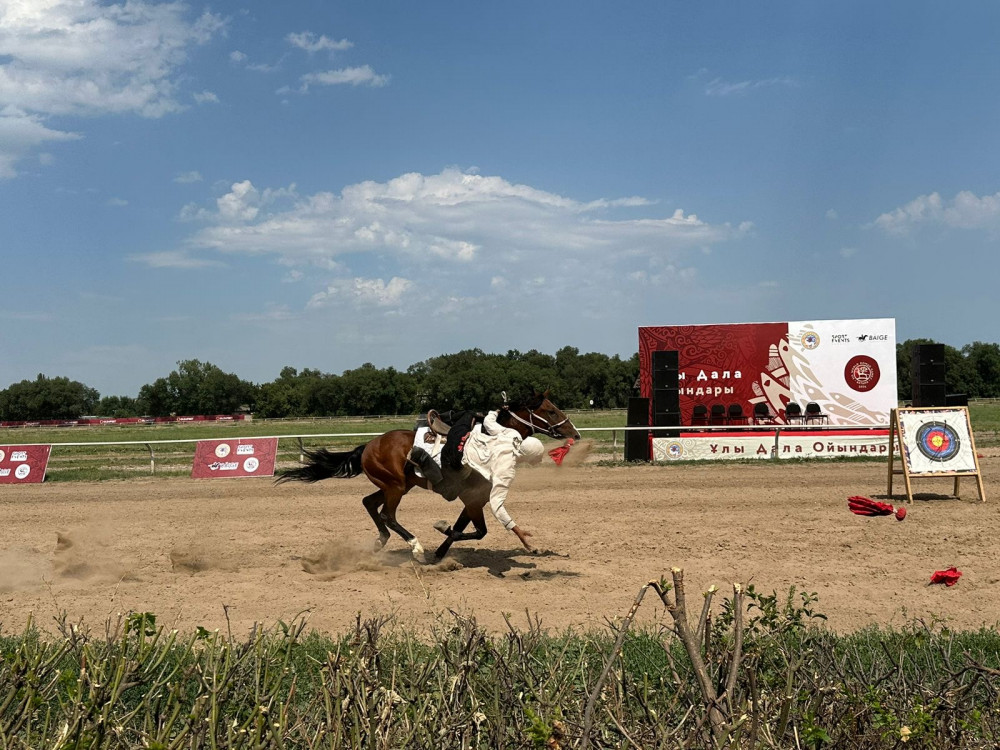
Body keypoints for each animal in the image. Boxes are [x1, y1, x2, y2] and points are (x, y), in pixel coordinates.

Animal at [278, 390, 584, 560]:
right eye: (550, 410)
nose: (575, 432)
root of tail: (368, 445)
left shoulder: (475, 499)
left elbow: (465, 529)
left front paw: (441, 551)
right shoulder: (473, 499)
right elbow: (477, 532)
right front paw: (440, 533)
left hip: (397, 485)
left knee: (369, 503)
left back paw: (381, 541)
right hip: (395, 487)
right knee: (388, 515)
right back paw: (415, 547)